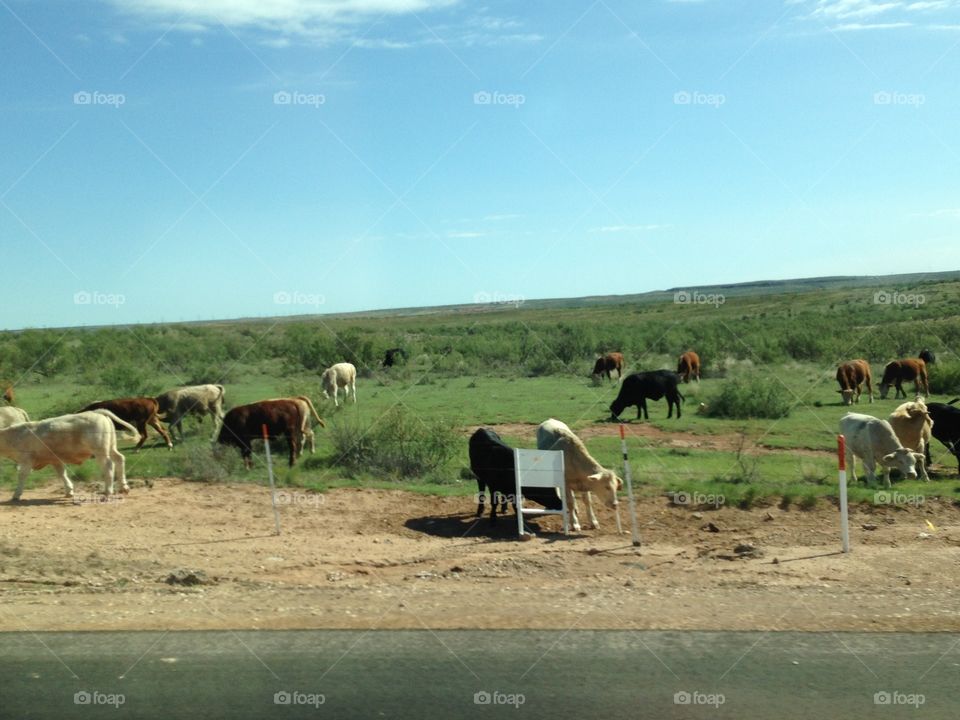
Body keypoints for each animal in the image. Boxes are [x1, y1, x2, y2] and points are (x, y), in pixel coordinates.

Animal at [0, 409, 138, 500]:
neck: (12, 436)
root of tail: (97, 412)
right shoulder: (55, 460)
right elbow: (62, 474)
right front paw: (69, 491)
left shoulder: (26, 460)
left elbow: (22, 476)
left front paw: (16, 494)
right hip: (111, 447)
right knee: (120, 459)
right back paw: (124, 487)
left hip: (101, 451)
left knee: (109, 465)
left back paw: (108, 491)